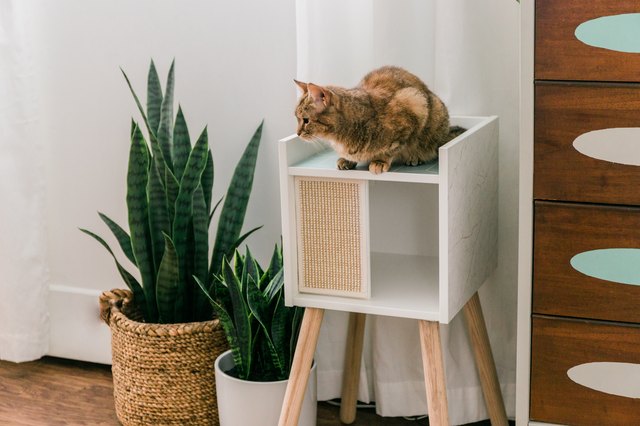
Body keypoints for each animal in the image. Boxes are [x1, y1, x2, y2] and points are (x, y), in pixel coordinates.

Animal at [292, 65, 462, 174]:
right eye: (297, 118)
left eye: (305, 120)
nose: (297, 133)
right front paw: (347, 160)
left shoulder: (414, 105)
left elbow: (393, 148)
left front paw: (380, 161)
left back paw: (415, 157)